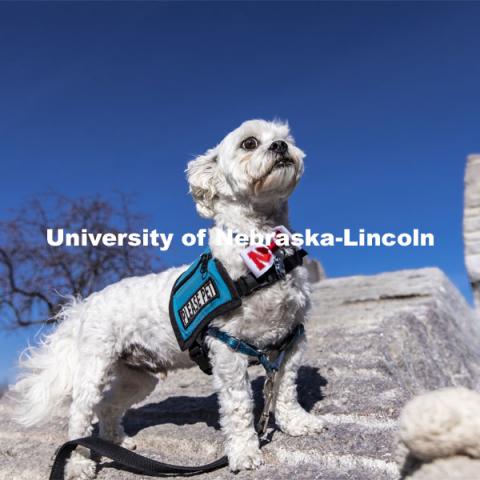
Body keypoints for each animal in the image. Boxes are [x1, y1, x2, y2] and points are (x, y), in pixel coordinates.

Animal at [14, 119, 326, 476]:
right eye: (249, 143)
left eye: (286, 138)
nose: (280, 147)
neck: (265, 252)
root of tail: (85, 305)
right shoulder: (227, 347)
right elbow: (238, 406)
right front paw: (244, 452)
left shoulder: (291, 339)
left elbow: (285, 389)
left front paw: (297, 423)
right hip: (94, 367)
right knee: (80, 416)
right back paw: (80, 465)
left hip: (138, 378)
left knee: (108, 406)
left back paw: (116, 442)